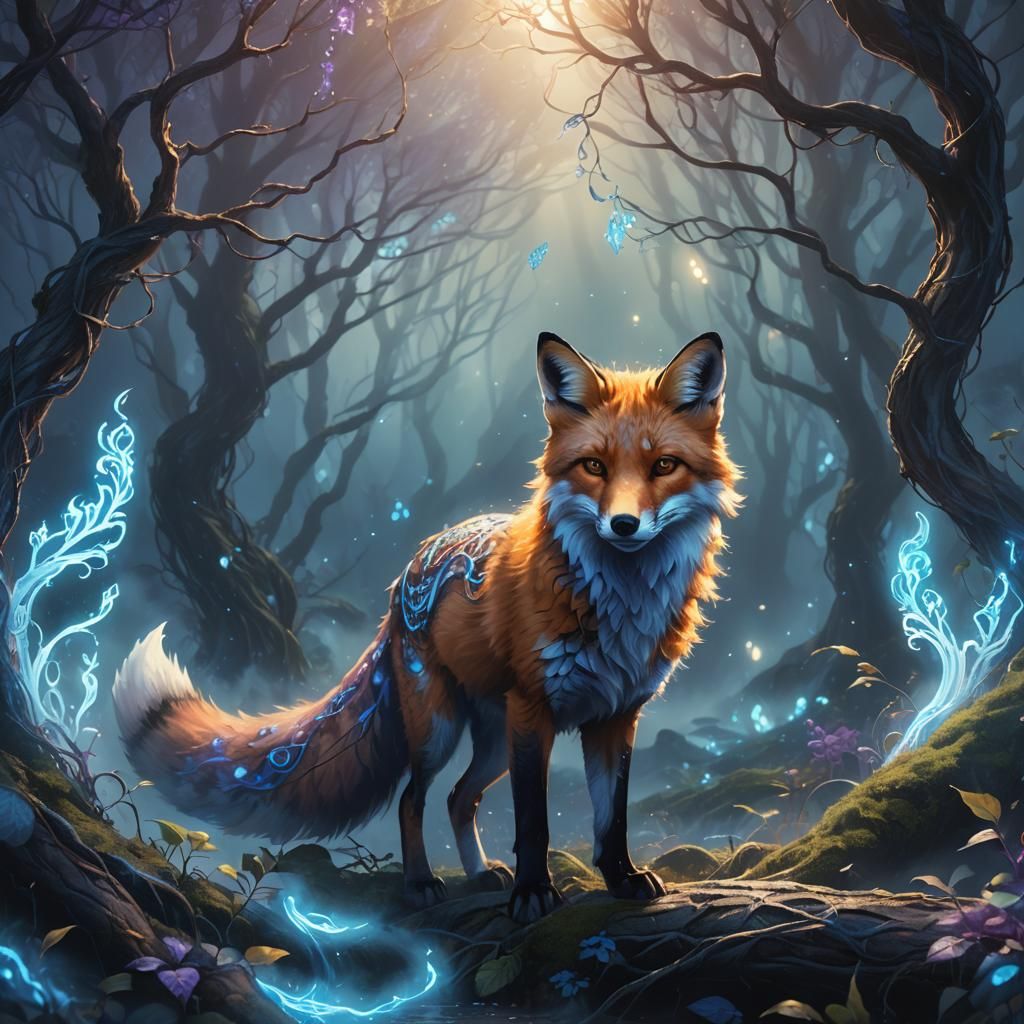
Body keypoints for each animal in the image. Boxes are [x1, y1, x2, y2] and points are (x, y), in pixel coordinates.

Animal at [113, 331, 740, 923]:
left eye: (663, 466)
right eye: (594, 467)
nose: (624, 525)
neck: (616, 605)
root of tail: (409, 571)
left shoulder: (616, 716)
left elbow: (612, 818)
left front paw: (621, 880)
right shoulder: (535, 709)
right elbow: (534, 824)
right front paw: (533, 895)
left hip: (495, 739)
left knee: (458, 800)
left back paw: (481, 874)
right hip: (445, 728)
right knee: (412, 800)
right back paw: (421, 885)